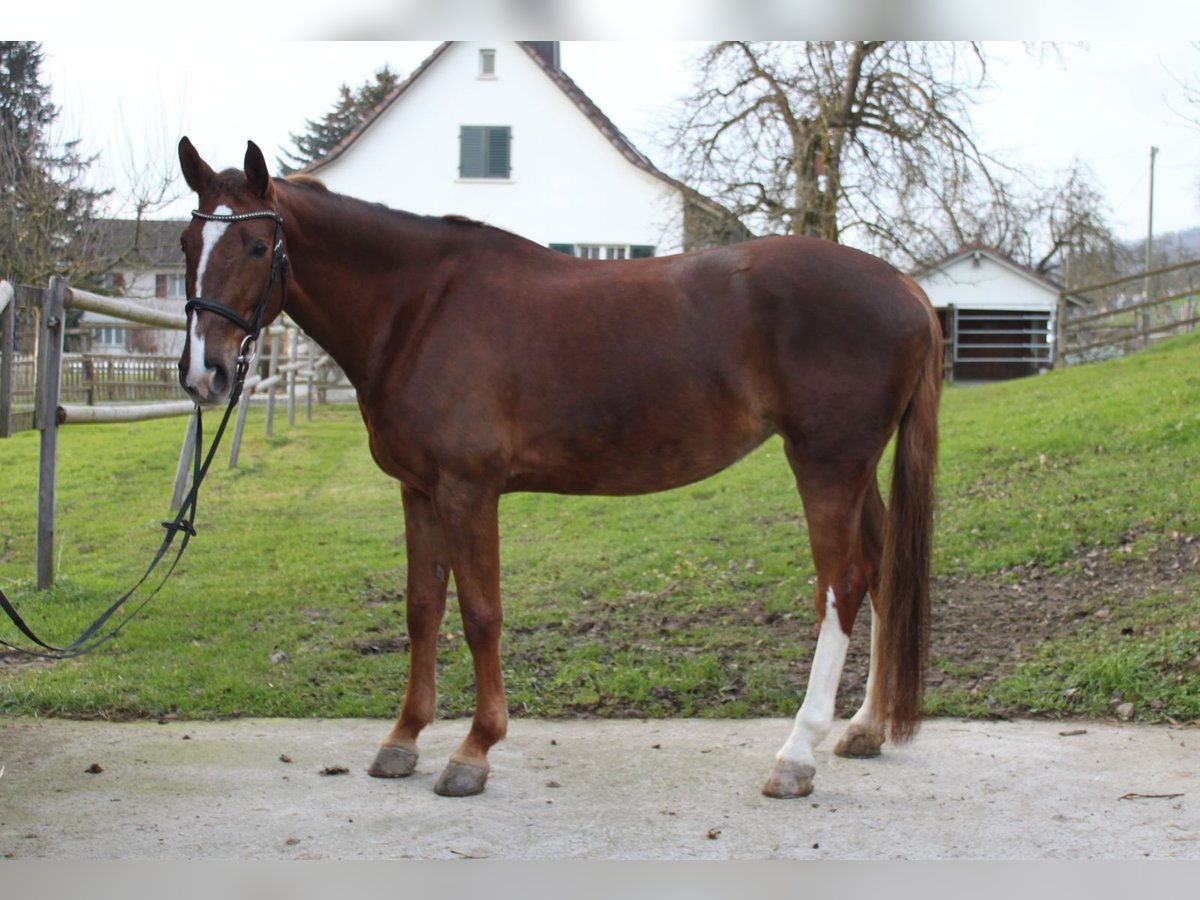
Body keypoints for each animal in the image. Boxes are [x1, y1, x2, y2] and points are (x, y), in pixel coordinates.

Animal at [177, 137, 940, 801]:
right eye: (187, 244)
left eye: (257, 245)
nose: (204, 373)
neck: (420, 307)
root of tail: (906, 288)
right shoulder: (418, 490)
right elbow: (422, 609)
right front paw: (402, 740)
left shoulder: (468, 490)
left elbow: (480, 613)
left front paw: (473, 751)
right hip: (857, 471)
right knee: (882, 573)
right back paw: (865, 729)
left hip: (826, 464)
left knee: (841, 586)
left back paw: (795, 756)